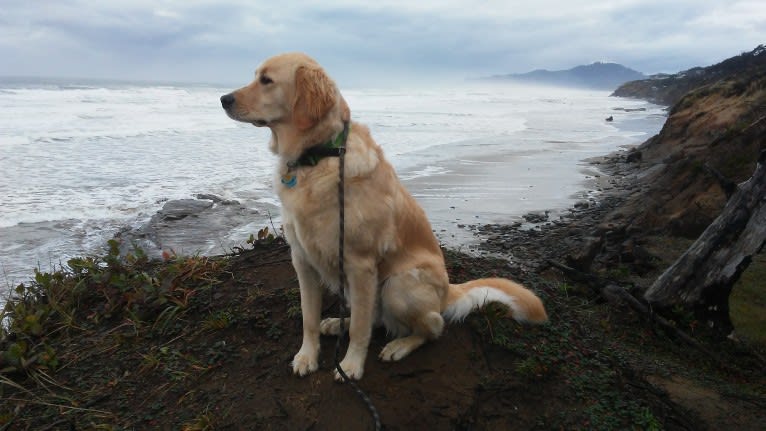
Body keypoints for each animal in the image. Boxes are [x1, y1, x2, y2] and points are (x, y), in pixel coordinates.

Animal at [219, 53, 548, 382]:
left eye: (267, 80)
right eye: (255, 76)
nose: (223, 99)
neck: (320, 156)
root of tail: (447, 292)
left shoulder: (360, 264)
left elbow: (360, 329)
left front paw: (351, 365)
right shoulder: (302, 260)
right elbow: (309, 318)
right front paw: (307, 356)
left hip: (397, 285)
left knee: (431, 326)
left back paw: (399, 345)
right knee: (373, 319)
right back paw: (337, 323)